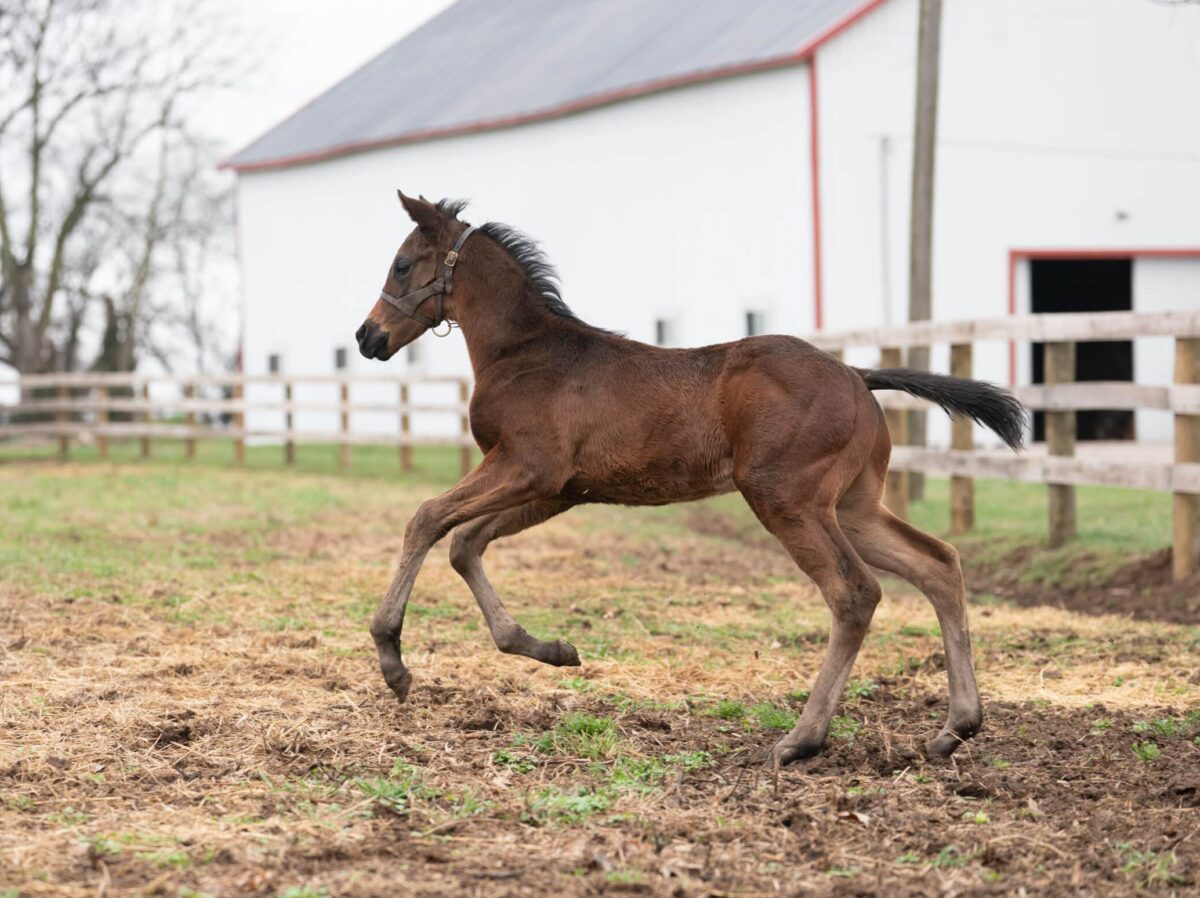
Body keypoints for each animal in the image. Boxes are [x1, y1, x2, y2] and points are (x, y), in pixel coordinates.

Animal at [352, 194, 1022, 763]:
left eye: (402, 265)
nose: (367, 336)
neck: (523, 352)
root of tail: (857, 375)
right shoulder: (560, 489)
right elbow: (466, 544)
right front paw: (551, 649)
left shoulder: (526, 466)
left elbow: (428, 518)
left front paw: (392, 656)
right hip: (852, 505)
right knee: (938, 564)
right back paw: (955, 728)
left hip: (786, 498)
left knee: (855, 593)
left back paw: (802, 740)